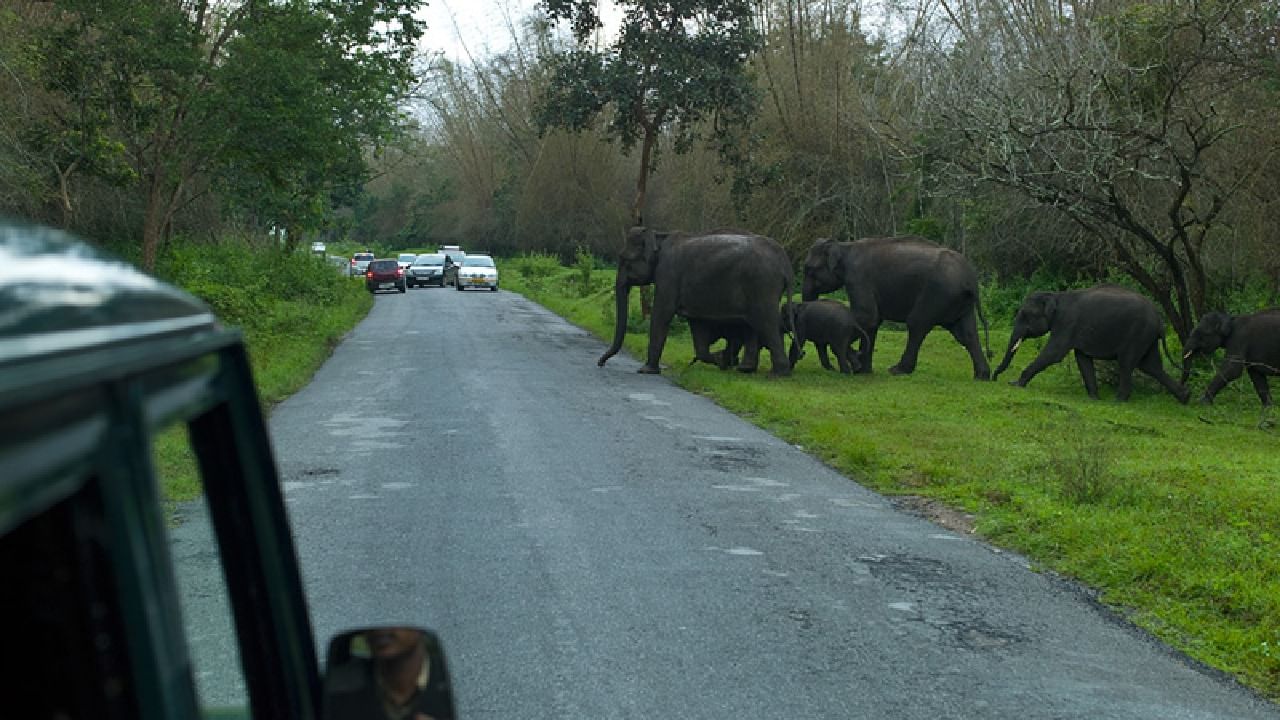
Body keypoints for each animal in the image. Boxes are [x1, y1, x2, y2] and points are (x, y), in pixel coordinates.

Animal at [596, 225, 788, 376]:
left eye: (625, 259)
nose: (600, 363)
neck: (658, 235)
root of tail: (784, 261)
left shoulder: (668, 274)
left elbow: (662, 313)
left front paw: (646, 371)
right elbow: (697, 326)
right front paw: (722, 360)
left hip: (762, 286)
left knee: (767, 323)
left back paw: (777, 374)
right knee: (753, 325)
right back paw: (746, 369)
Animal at [798, 238, 988, 379]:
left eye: (809, 269)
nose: (830, 368)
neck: (845, 246)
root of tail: (971, 280)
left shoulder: (858, 278)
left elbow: (866, 317)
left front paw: (857, 365)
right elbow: (872, 322)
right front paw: (863, 371)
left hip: (938, 293)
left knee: (917, 324)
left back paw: (897, 370)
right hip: (959, 301)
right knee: (966, 334)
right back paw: (982, 376)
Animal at [988, 283, 1187, 399]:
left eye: (1025, 315)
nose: (994, 378)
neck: (1056, 295)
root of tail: (1160, 321)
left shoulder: (1067, 323)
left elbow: (1054, 353)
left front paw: (1017, 385)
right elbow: (1082, 359)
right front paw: (1093, 398)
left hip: (1138, 333)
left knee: (1127, 363)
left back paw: (1118, 400)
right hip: (1147, 336)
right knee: (1151, 366)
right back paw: (1185, 397)